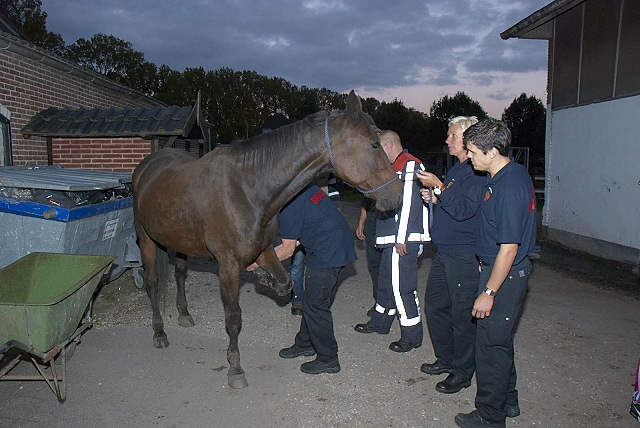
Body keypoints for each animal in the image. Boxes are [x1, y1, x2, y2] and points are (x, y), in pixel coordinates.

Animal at [131, 90, 400, 388]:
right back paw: (159, 332)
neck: (247, 188)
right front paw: (235, 368)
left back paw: (184, 314)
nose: (398, 195)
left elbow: (286, 283)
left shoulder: (263, 250)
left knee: (179, 274)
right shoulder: (227, 266)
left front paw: (263, 278)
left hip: (180, 243)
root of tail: (146, 165)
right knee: (152, 282)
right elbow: (233, 317)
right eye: (374, 144)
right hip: (146, 238)